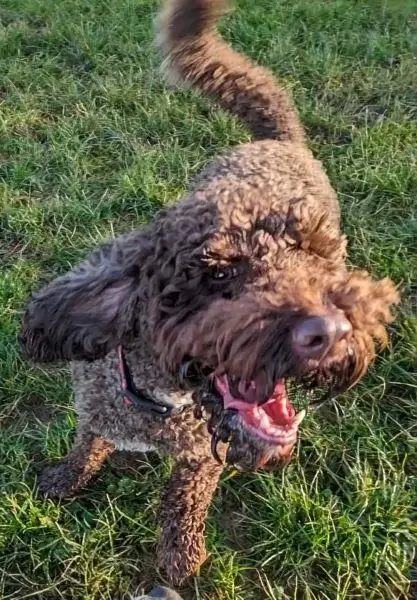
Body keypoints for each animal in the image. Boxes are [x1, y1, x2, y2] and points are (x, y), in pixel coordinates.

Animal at [20, 0, 400, 584]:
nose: (332, 330)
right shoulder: (95, 410)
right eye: (218, 275)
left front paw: (180, 557)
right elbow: (86, 446)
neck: (159, 402)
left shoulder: (200, 458)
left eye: (315, 257)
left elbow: (182, 501)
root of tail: (279, 140)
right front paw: (67, 477)